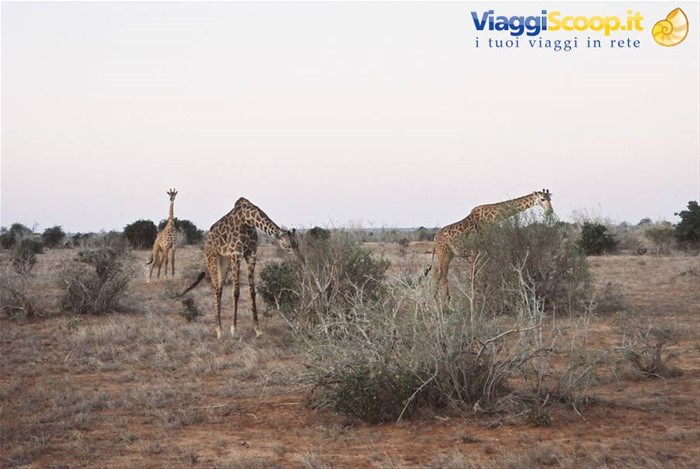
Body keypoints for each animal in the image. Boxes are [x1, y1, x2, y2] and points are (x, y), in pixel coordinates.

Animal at [179, 197, 302, 338]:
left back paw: (219, 328)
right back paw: (219, 329)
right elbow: (236, 292)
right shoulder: (236, 253)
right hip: (212, 257)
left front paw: (258, 329)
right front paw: (234, 329)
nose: (302, 259)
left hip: (224, 260)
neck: (248, 220)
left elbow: (252, 292)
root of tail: (207, 239)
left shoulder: (251, 254)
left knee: (219, 288)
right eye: (289, 245)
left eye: (297, 243)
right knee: (215, 288)